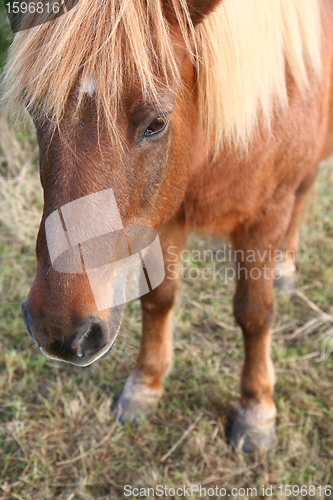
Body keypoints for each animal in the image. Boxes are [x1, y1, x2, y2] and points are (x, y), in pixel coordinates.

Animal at [1, 0, 332, 454]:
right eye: (36, 113)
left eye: (156, 123)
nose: (59, 330)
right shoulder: (164, 219)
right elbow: (159, 299)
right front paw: (146, 384)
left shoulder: (267, 216)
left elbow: (254, 313)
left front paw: (256, 410)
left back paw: (284, 268)